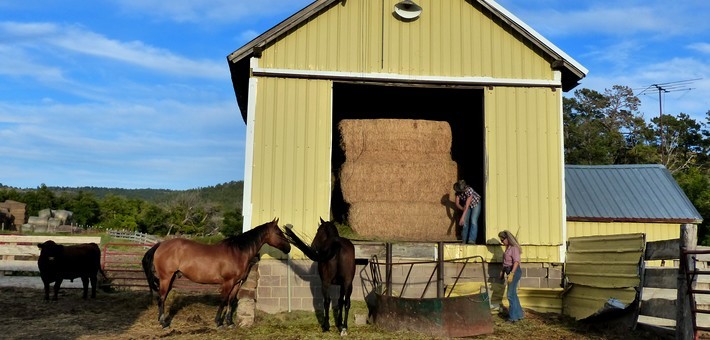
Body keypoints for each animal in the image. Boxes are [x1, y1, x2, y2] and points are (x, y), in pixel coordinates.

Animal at [143, 218, 290, 326]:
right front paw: (218, 322)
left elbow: (231, 301)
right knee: (161, 298)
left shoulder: (236, 283)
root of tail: (160, 245)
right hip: (166, 278)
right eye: (279, 233)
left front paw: (230, 322)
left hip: (171, 277)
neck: (238, 252)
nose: (288, 248)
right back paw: (163, 323)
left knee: (163, 296)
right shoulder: (228, 282)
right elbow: (223, 300)